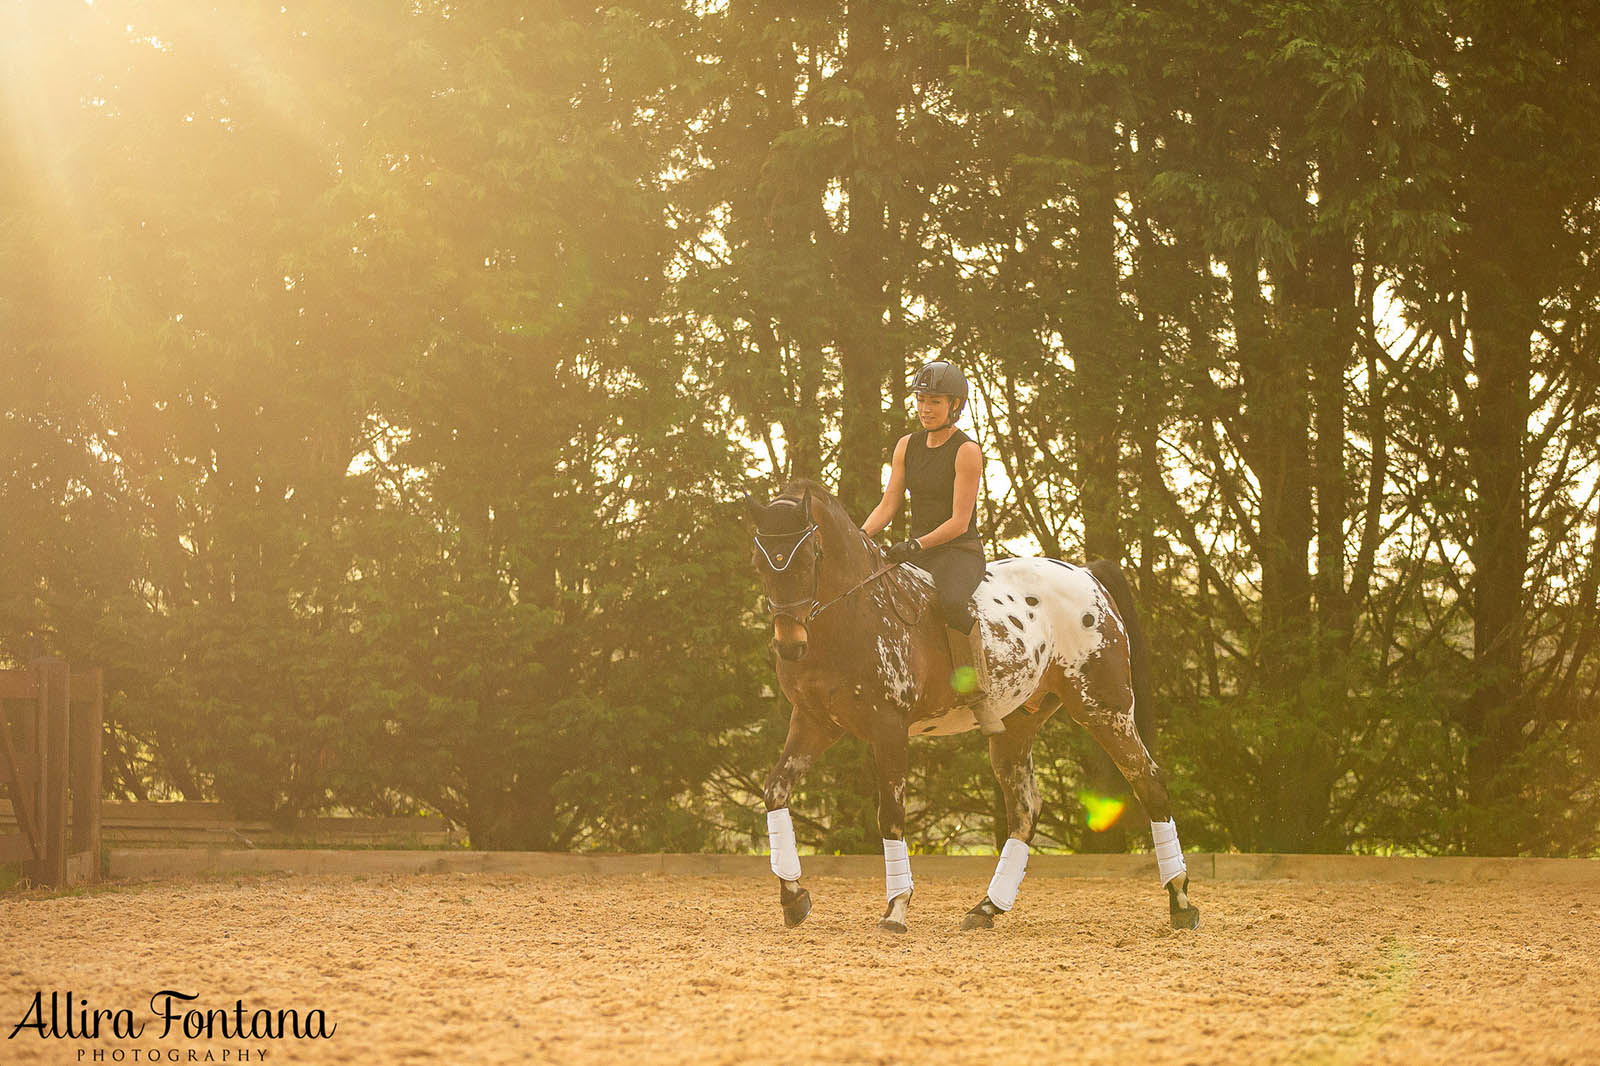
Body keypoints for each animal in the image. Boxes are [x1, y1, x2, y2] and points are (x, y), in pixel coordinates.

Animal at [748, 473, 1203, 928]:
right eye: (760, 564)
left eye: (809, 558)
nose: (790, 646)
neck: (850, 615)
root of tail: (1087, 574)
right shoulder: (815, 721)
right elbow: (776, 791)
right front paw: (794, 899)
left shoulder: (888, 728)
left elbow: (890, 816)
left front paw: (896, 907)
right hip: (1017, 725)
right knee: (1025, 810)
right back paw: (987, 907)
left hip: (1103, 708)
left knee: (1149, 783)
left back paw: (1180, 902)